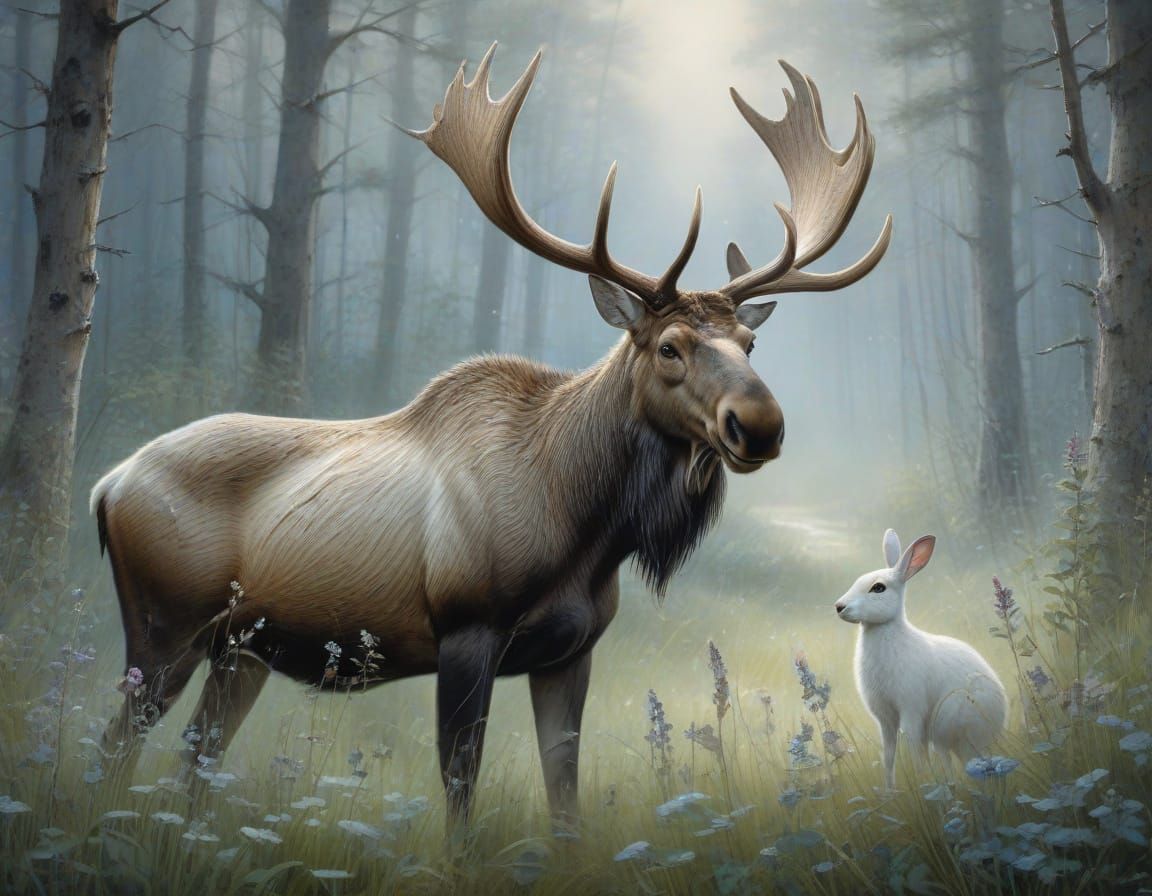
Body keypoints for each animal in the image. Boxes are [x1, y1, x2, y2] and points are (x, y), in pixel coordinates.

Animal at [91, 45, 891, 830]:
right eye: (669, 346)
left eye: (750, 345)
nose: (759, 424)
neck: (582, 524)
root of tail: (107, 484)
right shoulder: (466, 632)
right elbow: (460, 792)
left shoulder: (571, 650)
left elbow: (564, 795)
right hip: (166, 627)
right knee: (115, 747)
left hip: (243, 650)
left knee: (195, 760)